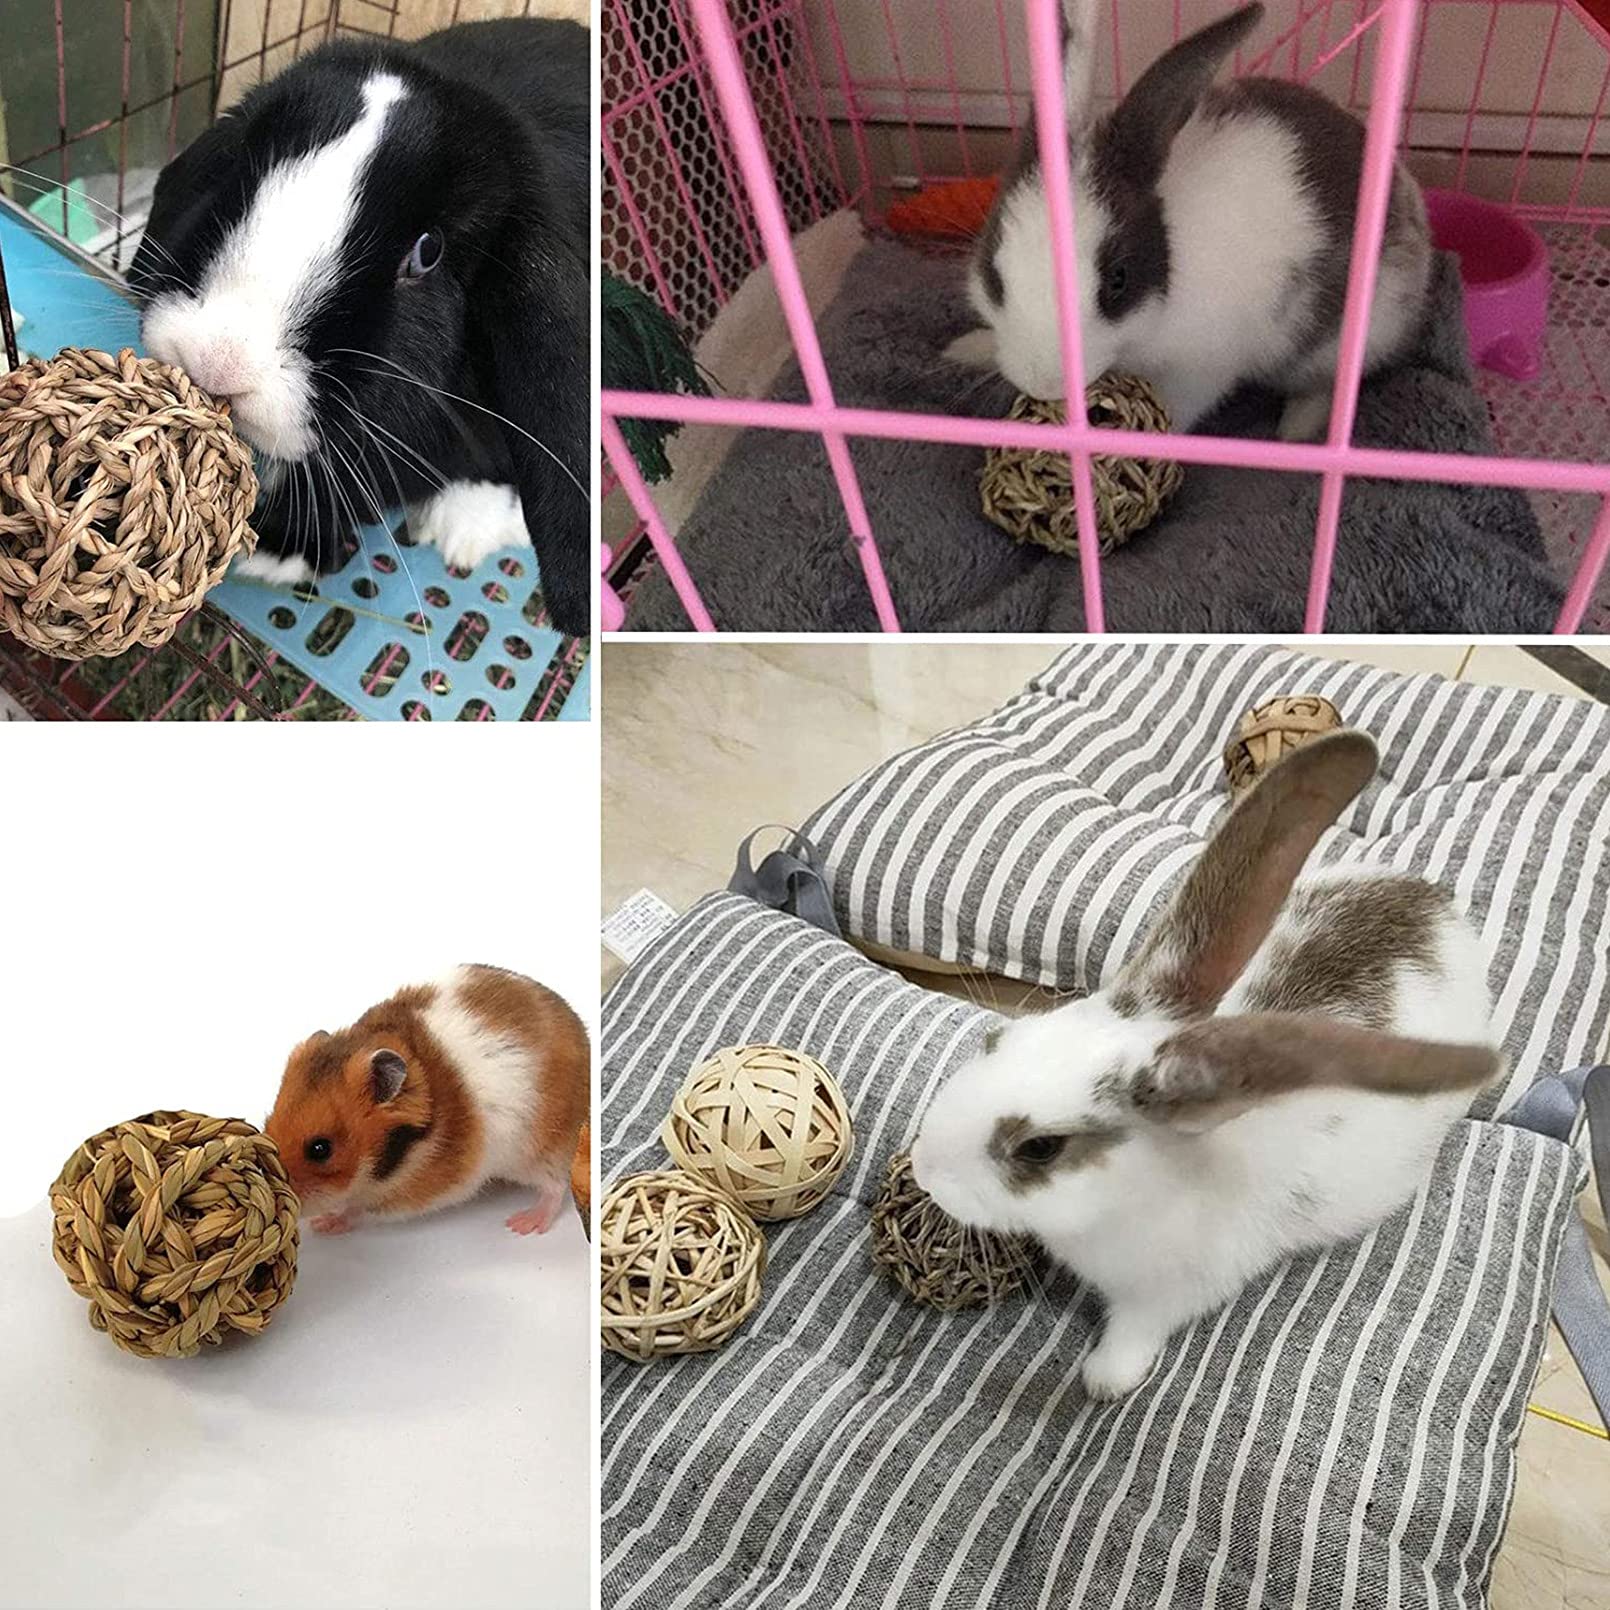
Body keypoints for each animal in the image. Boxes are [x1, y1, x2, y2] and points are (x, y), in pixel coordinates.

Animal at [909, 730, 1502, 1400]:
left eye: (1041, 1148)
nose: (923, 1169)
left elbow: (1134, 1333)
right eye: (997, 1038)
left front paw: (1104, 1381)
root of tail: (1439, 908)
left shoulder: (1168, 1295)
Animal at [943, 1, 1433, 441]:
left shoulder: (1201, 368)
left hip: (1347, 340)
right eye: (993, 273)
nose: (1043, 381)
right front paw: (968, 348)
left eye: (1118, 280)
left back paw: (1296, 432)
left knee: (1325, 386)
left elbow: (1178, 407)